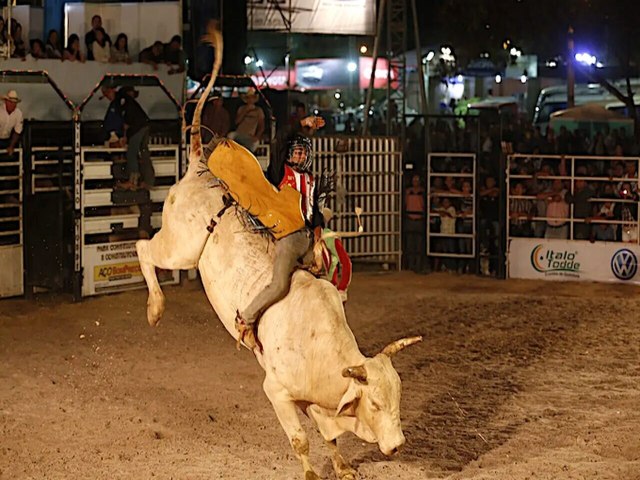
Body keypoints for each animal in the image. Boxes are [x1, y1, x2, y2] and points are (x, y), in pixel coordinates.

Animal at [135, 27, 420, 480]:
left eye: (397, 396)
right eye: (374, 403)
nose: (397, 446)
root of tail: (199, 165)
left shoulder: (317, 401)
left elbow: (328, 435)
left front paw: (343, 466)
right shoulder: (277, 391)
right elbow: (301, 438)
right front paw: (311, 472)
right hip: (180, 247)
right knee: (144, 248)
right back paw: (155, 309)